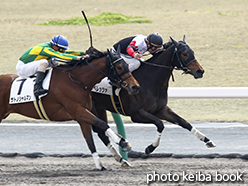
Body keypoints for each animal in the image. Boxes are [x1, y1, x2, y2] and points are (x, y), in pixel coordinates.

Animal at [0, 47, 140, 170]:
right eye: (119, 67)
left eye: (127, 64)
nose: (135, 87)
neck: (76, 81)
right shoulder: (78, 112)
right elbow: (102, 124)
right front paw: (122, 141)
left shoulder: (83, 117)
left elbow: (90, 140)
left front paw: (101, 165)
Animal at [90, 35, 216, 166]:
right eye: (185, 53)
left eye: (193, 52)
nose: (200, 71)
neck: (150, 80)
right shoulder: (137, 114)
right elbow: (160, 124)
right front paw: (150, 147)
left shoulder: (161, 110)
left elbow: (184, 122)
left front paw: (207, 140)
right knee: (100, 129)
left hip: (99, 107)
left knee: (101, 131)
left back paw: (121, 158)